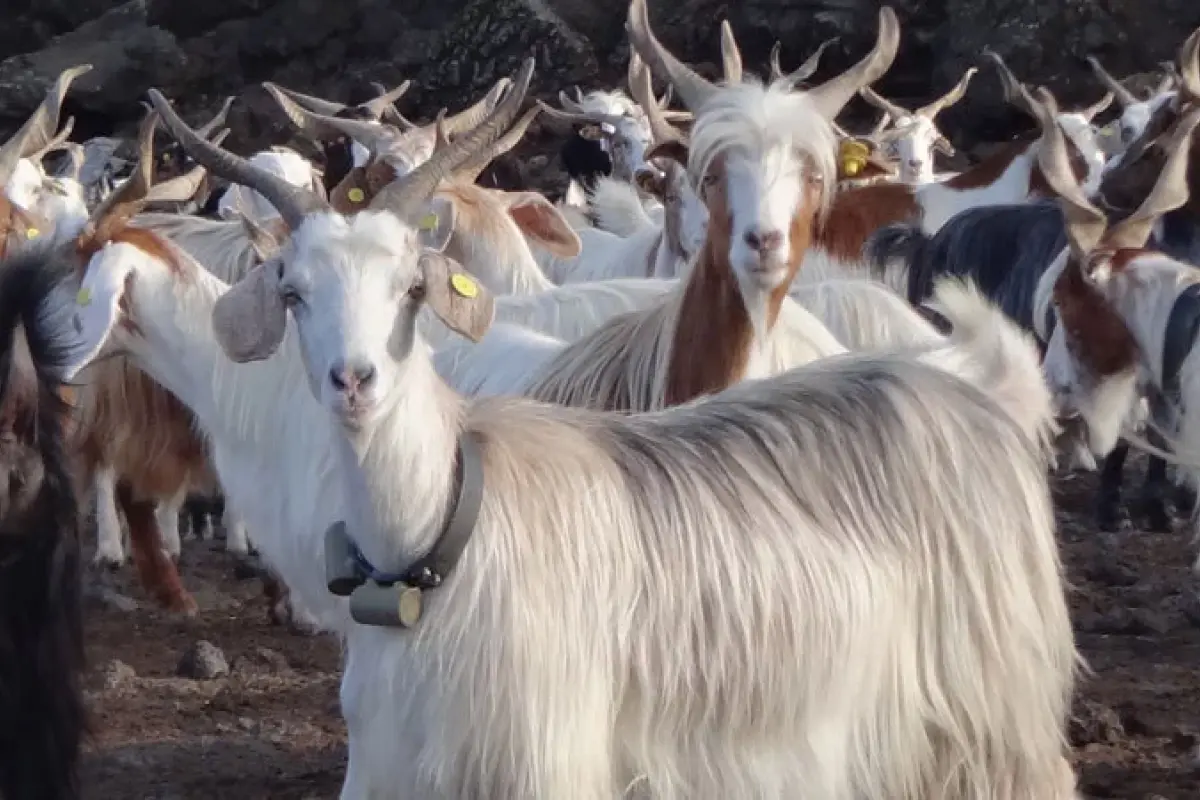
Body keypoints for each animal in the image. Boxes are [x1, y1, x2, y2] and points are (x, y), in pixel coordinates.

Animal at [184, 46, 1078, 798]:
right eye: (293, 290)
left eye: (412, 285)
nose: (355, 380)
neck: (440, 536)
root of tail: (974, 393)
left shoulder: (545, 762)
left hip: (991, 716)